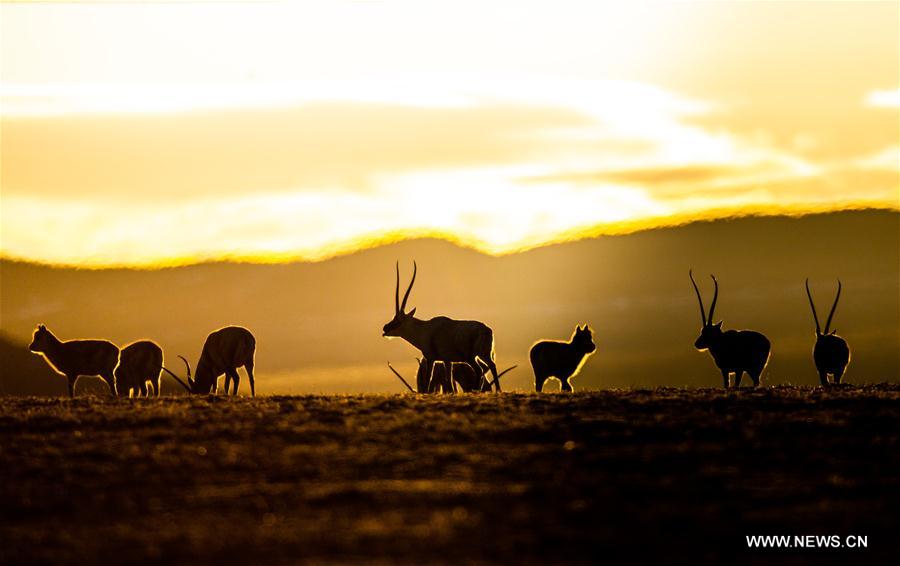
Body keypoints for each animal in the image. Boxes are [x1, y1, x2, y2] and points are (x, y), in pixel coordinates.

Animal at [382, 262, 502, 394]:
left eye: (399, 320)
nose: (385, 328)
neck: (423, 329)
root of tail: (486, 330)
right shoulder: (447, 360)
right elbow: (448, 379)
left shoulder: (430, 358)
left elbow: (429, 378)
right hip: (484, 354)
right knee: (492, 365)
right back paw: (498, 389)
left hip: (470, 357)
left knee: (480, 370)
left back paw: (476, 390)